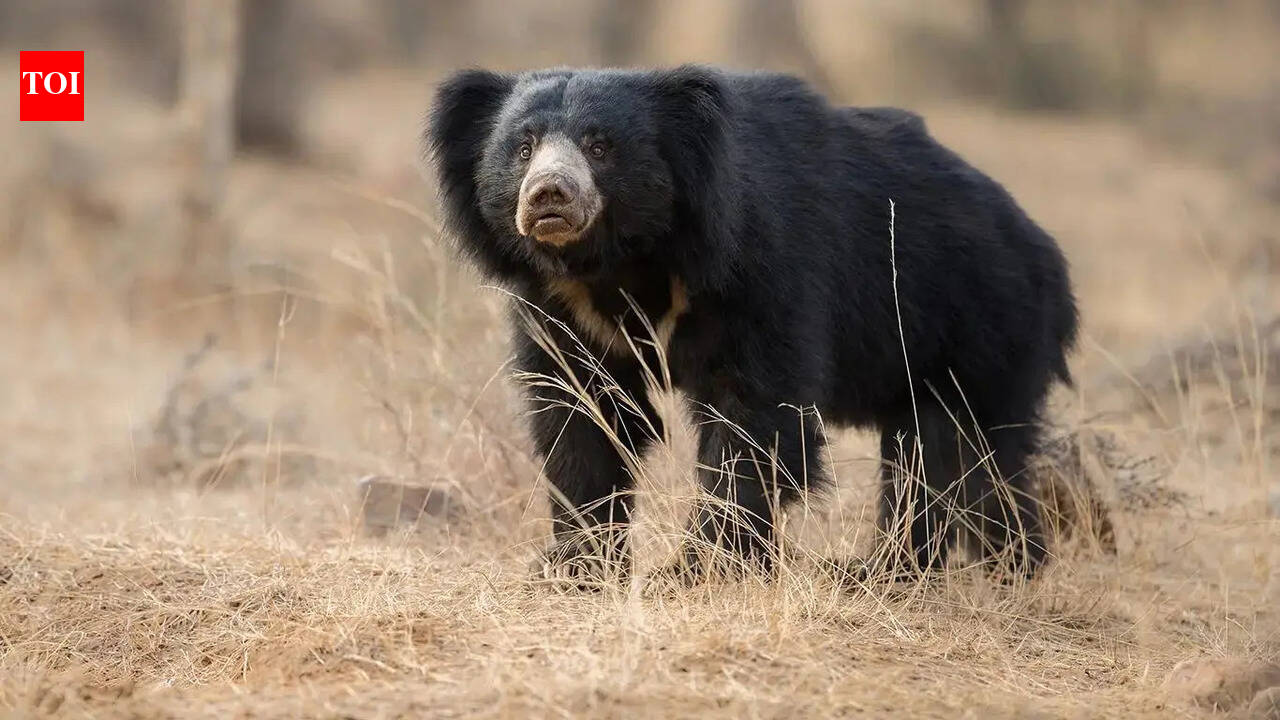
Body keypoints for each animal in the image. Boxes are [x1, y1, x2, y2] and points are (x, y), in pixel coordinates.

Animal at [426, 65, 1077, 587]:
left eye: (601, 146)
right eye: (522, 147)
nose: (549, 196)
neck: (624, 261)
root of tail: (1043, 250)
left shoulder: (760, 268)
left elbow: (755, 415)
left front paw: (697, 570)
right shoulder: (563, 310)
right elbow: (582, 414)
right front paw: (574, 566)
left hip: (976, 325)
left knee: (958, 452)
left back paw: (939, 570)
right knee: (944, 456)